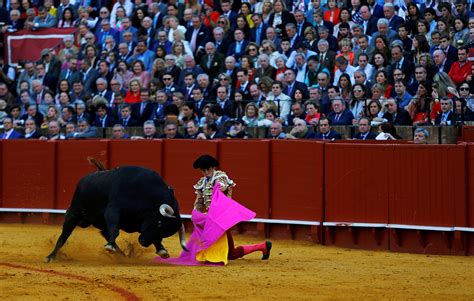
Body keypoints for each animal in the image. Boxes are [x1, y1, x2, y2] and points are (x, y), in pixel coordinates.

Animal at [44, 163, 185, 262]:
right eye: (159, 223)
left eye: (165, 232)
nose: (143, 242)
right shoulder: (113, 210)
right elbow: (115, 229)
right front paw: (110, 246)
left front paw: (162, 250)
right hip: (74, 213)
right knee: (64, 236)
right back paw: (50, 257)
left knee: (106, 234)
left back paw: (122, 255)